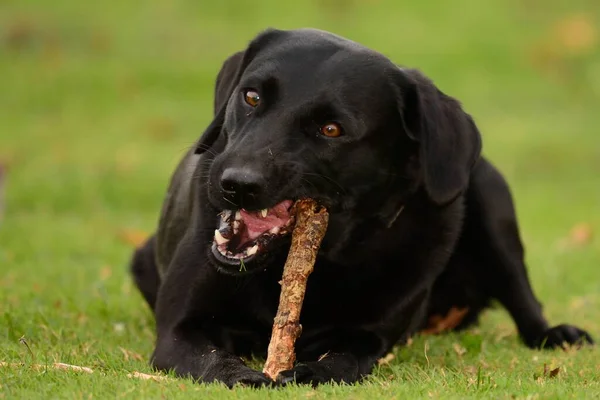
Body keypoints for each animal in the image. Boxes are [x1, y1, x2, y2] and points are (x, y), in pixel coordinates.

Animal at [129, 28, 592, 388]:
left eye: (331, 129)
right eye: (252, 97)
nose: (236, 184)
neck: (325, 259)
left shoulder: (371, 335)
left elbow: (347, 356)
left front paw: (312, 372)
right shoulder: (178, 329)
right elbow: (211, 359)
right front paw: (242, 375)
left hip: (492, 199)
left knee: (523, 296)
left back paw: (557, 334)